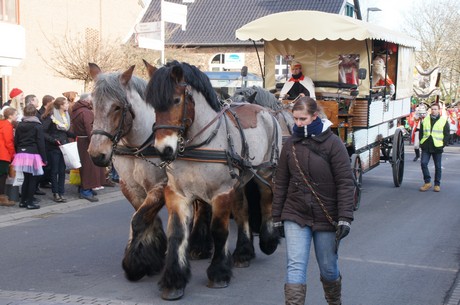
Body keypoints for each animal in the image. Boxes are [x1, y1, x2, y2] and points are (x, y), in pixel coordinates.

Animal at [145, 60, 280, 300]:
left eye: (176, 100)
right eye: (153, 105)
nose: (163, 150)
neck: (201, 144)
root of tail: (265, 111)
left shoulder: (221, 193)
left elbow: (219, 231)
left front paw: (218, 273)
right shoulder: (178, 194)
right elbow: (177, 233)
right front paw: (174, 281)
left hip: (265, 173)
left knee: (266, 200)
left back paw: (268, 240)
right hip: (240, 180)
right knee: (243, 210)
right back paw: (243, 253)